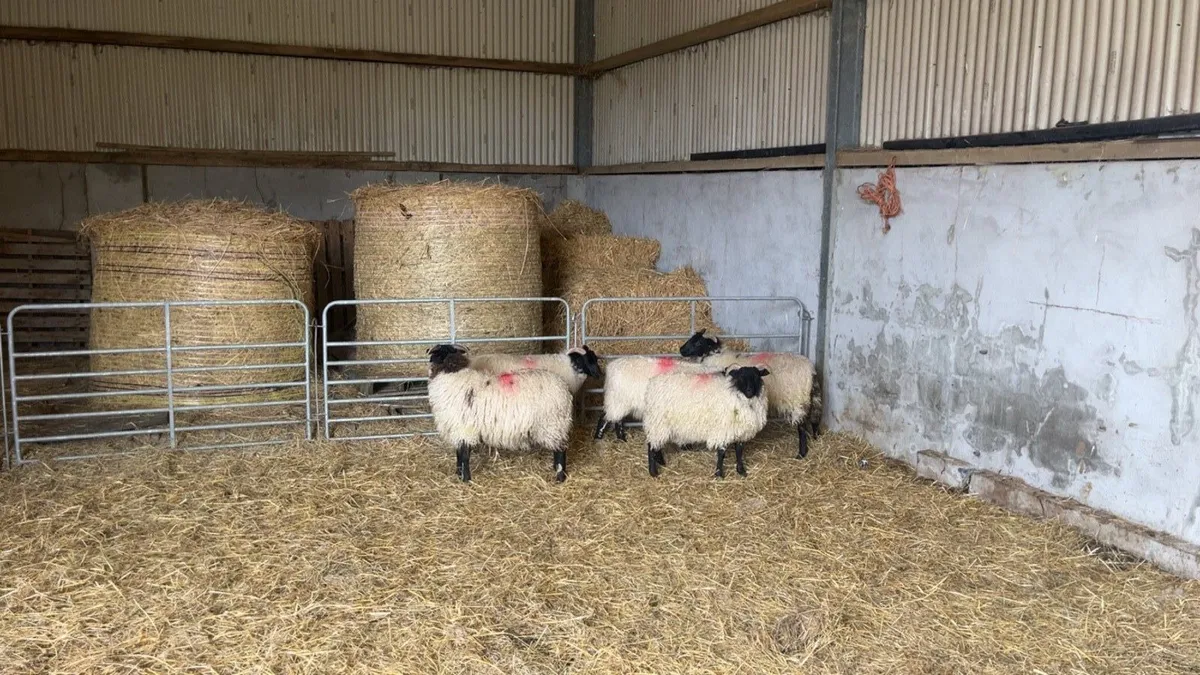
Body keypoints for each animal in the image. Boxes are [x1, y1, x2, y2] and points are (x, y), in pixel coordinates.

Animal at [426, 344, 574, 483]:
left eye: (437, 355)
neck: (451, 373)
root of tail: (564, 387)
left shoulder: (465, 429)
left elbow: (464, 455)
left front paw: (465, 479)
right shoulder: (456, 429)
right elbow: (458, 454)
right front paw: (458, 474)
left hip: (552, 424)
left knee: (560, 450)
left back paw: (560, 476)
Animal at [642, 365, 772, 478]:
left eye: (756, 377)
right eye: (740, 378)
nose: (749, 391)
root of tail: (651, 384)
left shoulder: (741, 432)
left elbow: (739, 452)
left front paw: (741, 471)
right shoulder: (722, 429)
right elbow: (721, 453)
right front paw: (719, 474)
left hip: (660, 425)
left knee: (656, 444)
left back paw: (661, 462)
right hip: (657, 422)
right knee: (651, 446)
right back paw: (653, 472)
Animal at [679, 330, 823, 459]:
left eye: (698, 342)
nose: (681, 350)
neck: (714, 356)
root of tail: (811, 370)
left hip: (797, 400)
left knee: (802, 426)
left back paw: (801, 453)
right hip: (810, 398)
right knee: (814, 418)